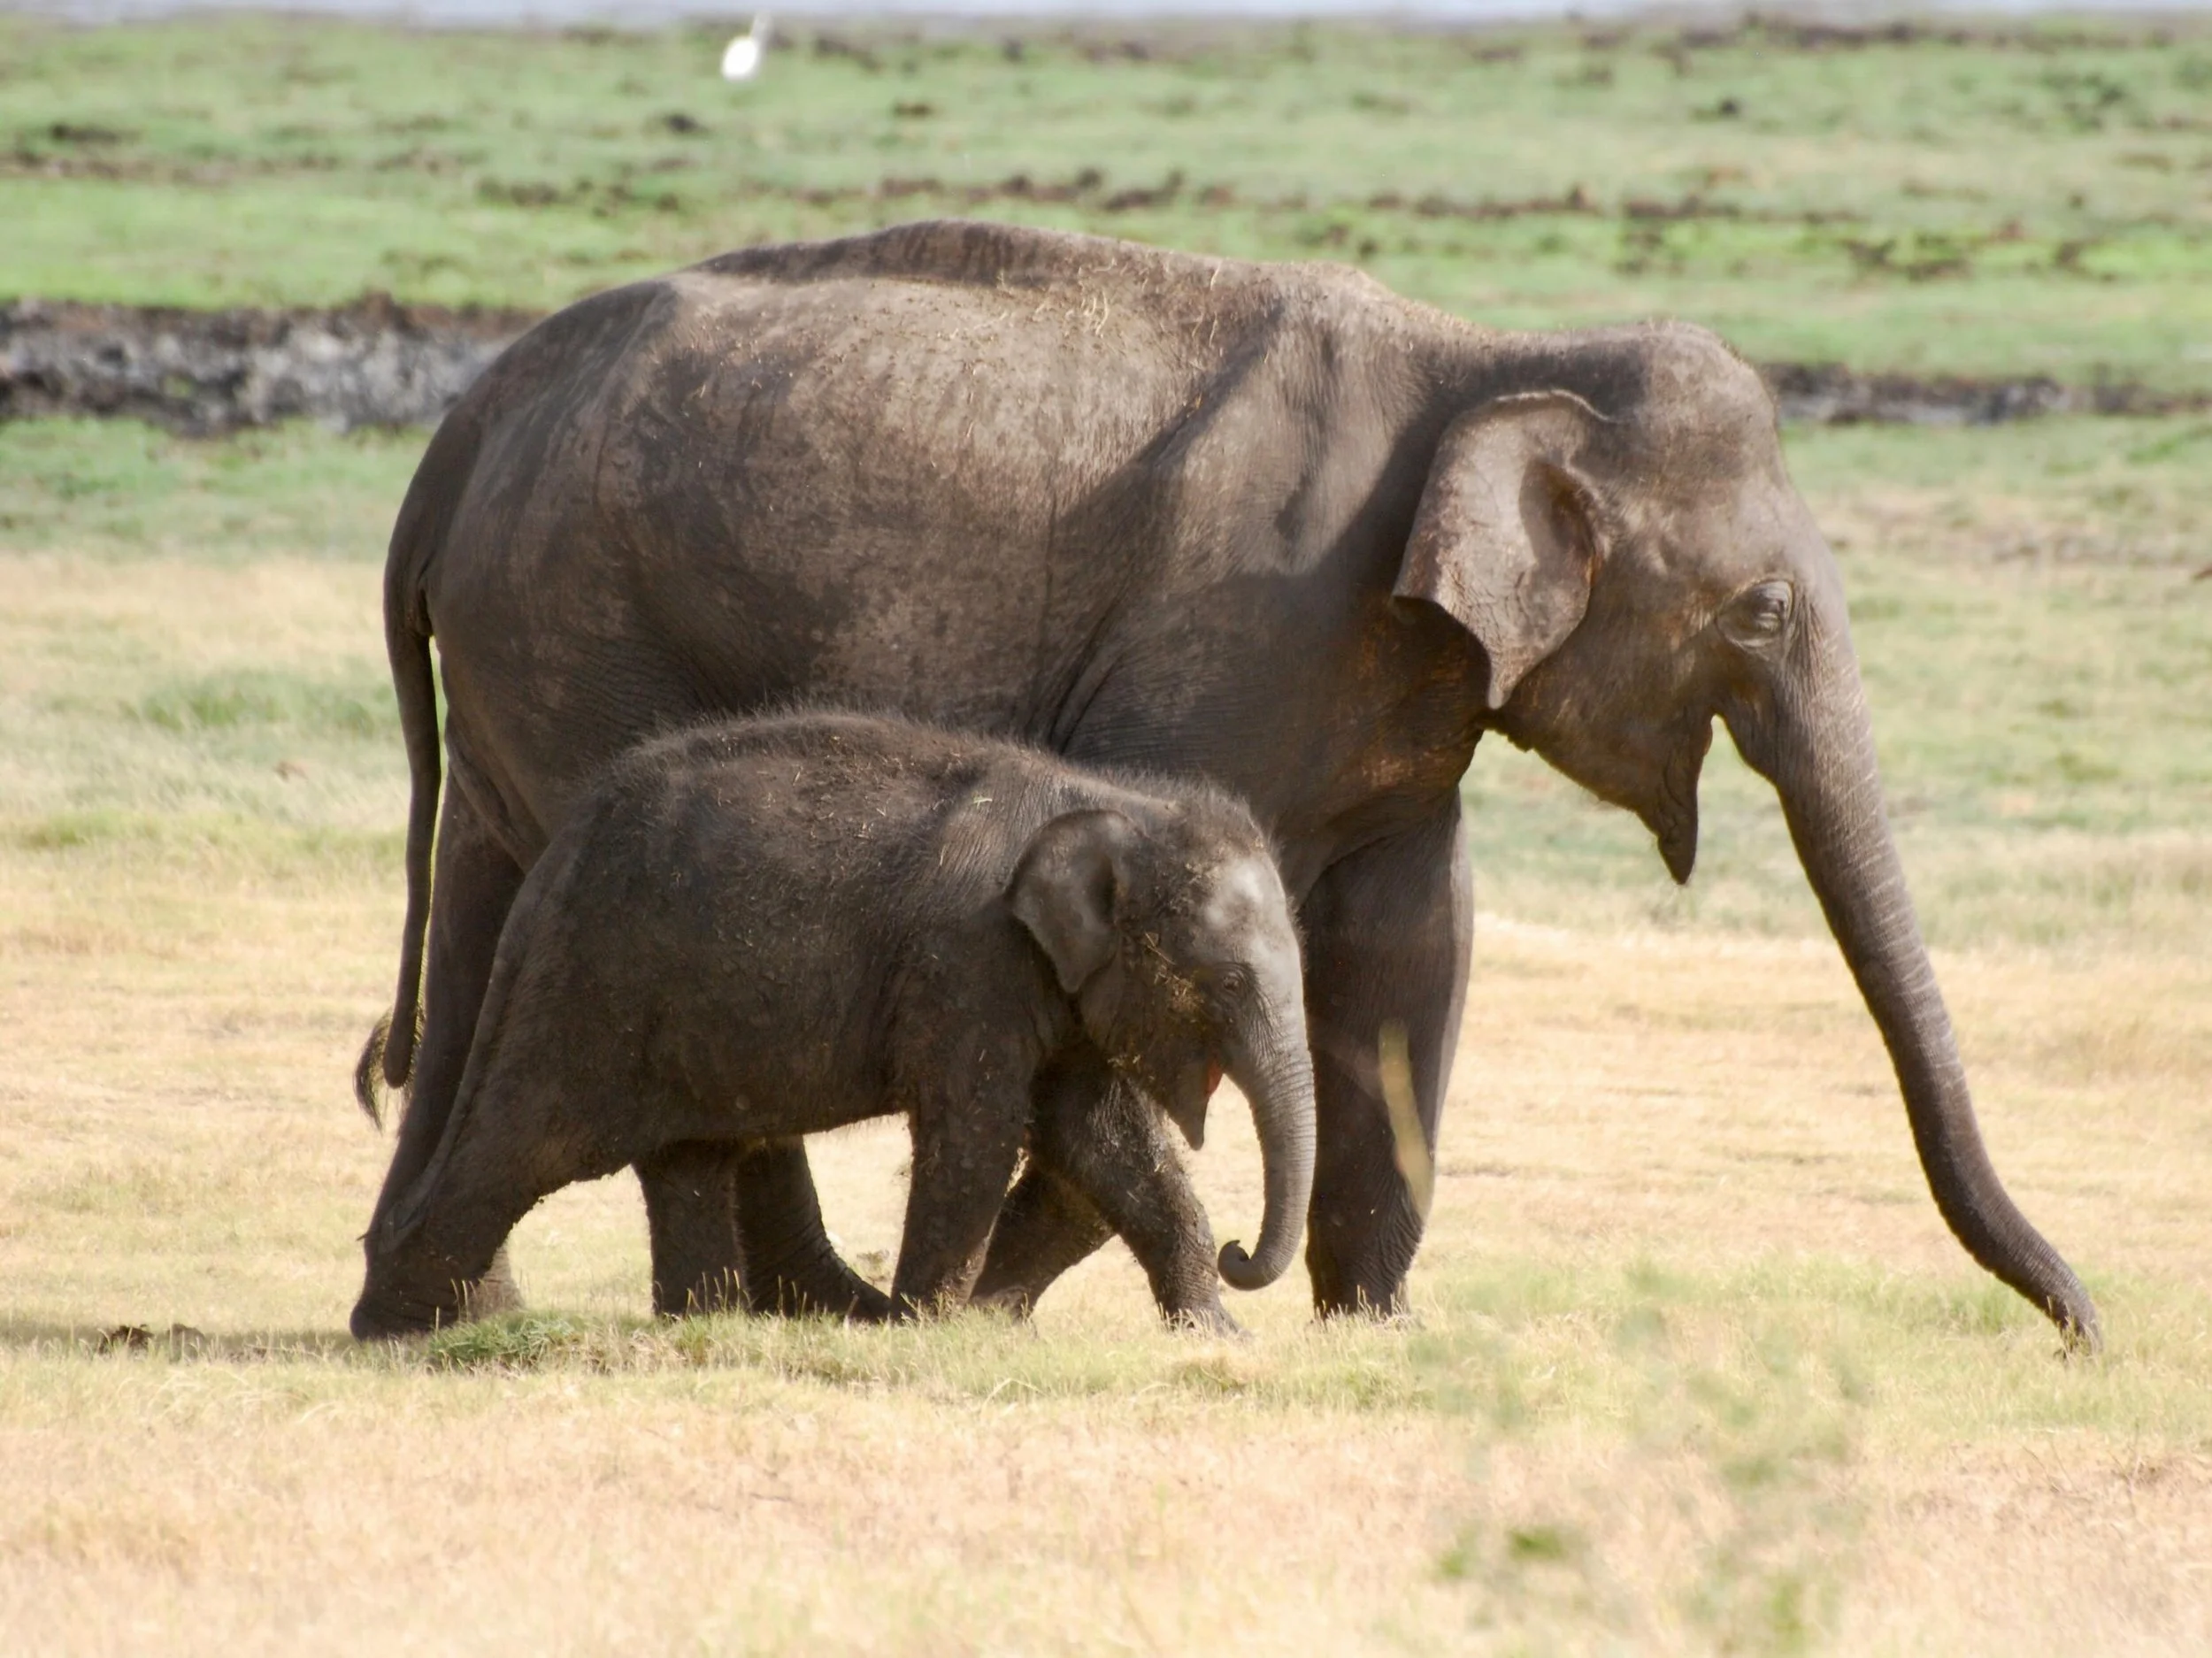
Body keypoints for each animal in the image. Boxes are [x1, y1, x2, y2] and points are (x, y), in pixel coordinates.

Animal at [351, 711, 1315, 1339]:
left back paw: (703, 1327)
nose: (1242, 1251)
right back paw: (400, 1328)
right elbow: (977, 1133)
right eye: (1227, 980)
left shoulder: (1056, 980)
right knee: (527, 1141)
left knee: (684, 1158)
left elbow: (1102, 1136)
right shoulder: (970, 962)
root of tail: (557, 856)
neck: (1117, 804)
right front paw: (922, 1330)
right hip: (591, 986)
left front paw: (1221, 1337)